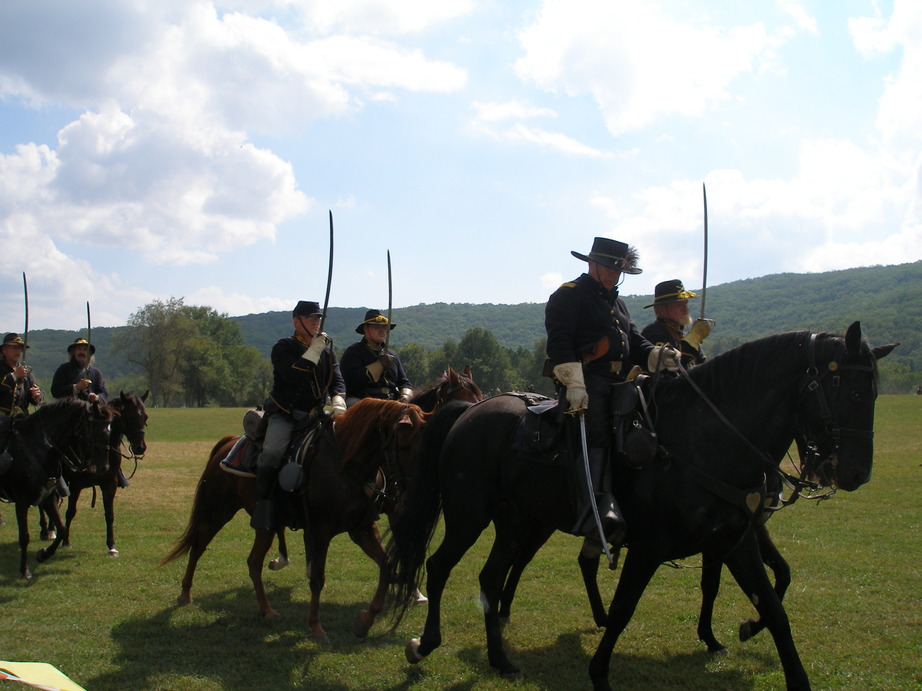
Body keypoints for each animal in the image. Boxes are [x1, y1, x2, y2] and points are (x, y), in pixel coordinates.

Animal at [0, 398, 114, 580]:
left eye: (110, 431)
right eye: (96, 431)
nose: (104, 468)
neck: (40, 447)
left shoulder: (48, 496)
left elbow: (62, 530)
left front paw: (43, 554)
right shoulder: (22, 501)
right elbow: (24, 537)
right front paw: (24, 570)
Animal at [163, 368, 482, 636]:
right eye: (405, 442)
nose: (471, 419)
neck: (348, 462)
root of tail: (228, 443)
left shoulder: (363, 528)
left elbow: (387, 561)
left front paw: (371, 615)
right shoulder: (322, 530)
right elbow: (319, 576)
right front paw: (316, 626)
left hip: (264, 524)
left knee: (253, 562)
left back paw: (267, 609)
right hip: (217, 510)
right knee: (199, 544)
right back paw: (185, 593)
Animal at [386, 326, 892, 691]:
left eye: (873, 393)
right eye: (852, 392)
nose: (854, 473)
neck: (707, 438)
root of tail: (471, 411)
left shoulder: (737, 543)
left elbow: (774, 607)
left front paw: (756, 638)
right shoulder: (649, 548)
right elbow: (625, 609)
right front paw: (599, 673)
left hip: (515, 523)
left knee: (491, 578)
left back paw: (500, 659)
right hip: (468, 517)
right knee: (439, 565)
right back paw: (425, 644)